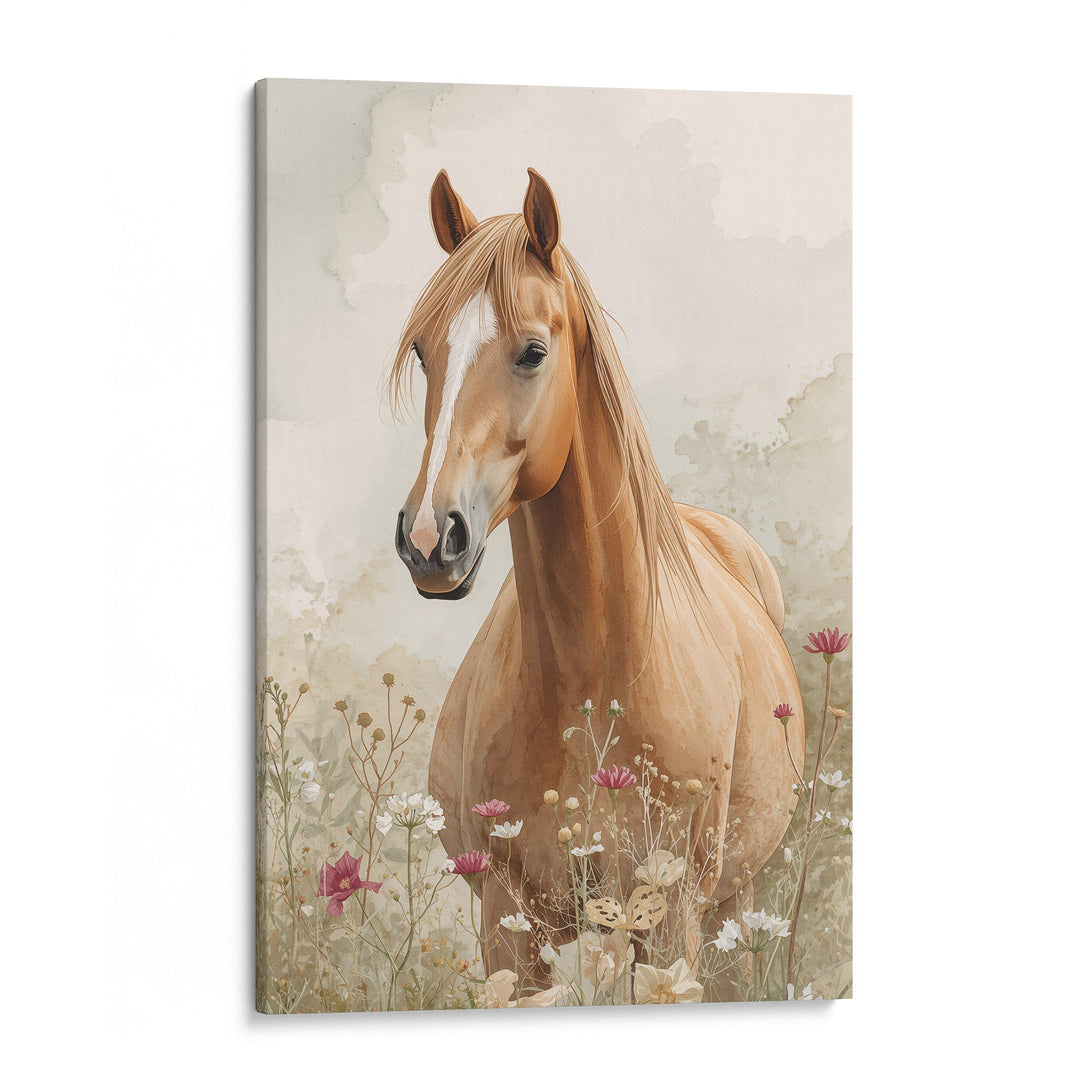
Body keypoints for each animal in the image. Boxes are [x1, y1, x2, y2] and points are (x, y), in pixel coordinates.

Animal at [389, 168, 805, 991]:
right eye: (423, 353)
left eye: (532, 351)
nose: (428, 540)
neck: (596, 674)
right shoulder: (511, 922)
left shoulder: (670, 920)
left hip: (731, 903)